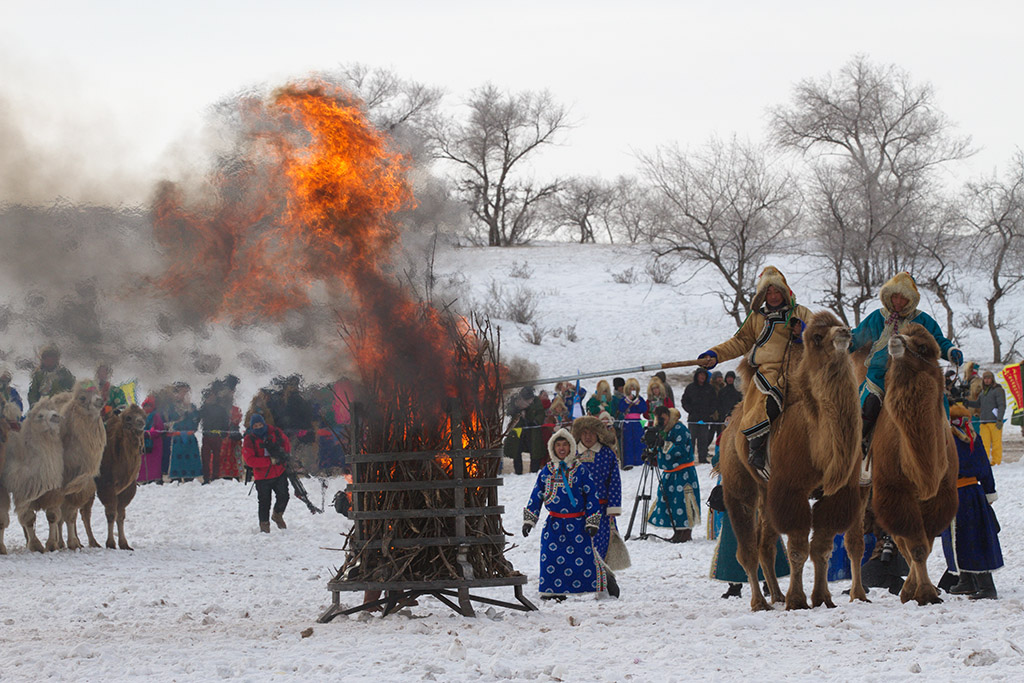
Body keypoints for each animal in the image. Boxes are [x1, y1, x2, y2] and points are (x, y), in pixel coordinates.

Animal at [0, 401, 64, 557]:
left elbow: (52, 515)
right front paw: (35, 545)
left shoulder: (51, 489)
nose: (56, 416)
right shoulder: (19, 491)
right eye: (40, 415)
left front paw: (51, 545)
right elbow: (27, 518)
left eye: (54, 409)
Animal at [80, 405, 147, 548]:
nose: (141, 422)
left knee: (82, 512)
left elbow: (121, 515)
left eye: (144, 415)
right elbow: (111, 513)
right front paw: (110, 543)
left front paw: (124, 544)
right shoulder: (106, 485)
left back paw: (90, 542)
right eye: (128, 417)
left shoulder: (128, 488)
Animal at [720, 313, 864, 610]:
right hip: (739, 484)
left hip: (766, 491)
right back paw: (760, 602)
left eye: (839, 321)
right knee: (748, 547)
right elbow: (798, 549)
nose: (844, 332)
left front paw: (822, 598)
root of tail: (729, 427)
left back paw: (777, 595)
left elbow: (822, 547)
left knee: (765, 545)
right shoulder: (791, 489)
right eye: (817, 336)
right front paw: (798, 600)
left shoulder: (836, 494)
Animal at [872, 323, 958, 606]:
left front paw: (923, 591)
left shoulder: (942, 495)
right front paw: (923, 593)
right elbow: (916, 546)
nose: (896, 340)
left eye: (923, 346)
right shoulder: (894, 492)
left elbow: (925, 546)